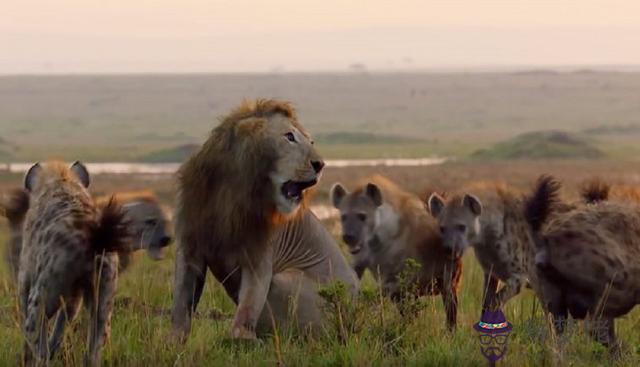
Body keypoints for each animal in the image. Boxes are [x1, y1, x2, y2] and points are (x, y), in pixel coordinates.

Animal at [170, 99, 360, 340]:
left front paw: (243, 338)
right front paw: (172, 341)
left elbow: (248, 306)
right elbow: (181, 305)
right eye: (289, 137)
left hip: (287, 281)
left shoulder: (259, 257)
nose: (320, 164)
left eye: (311, 141)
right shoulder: (190, 248)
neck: (230, 192)